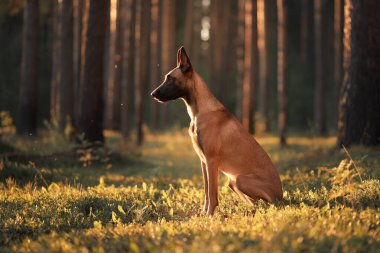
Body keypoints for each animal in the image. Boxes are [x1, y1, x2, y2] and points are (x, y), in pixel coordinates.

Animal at [151, 47, 282, 215]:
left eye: (170, 78)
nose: (153, 94)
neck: (200, 112)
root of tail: (282, 196)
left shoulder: (212, 161)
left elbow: (212, 193)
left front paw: (209, 216)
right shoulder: (203, 161)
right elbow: (207, 191)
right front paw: (203, 214)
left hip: (240, 179)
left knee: (269, 203)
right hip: (232, 182)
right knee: (254, 203)